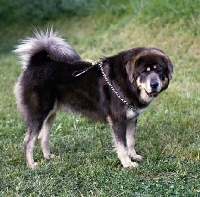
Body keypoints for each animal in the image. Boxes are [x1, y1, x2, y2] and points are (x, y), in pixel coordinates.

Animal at [14, 29, 173, 168]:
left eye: (159, 70)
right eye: (144, 72)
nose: (154, 84)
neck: (128, 82)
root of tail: (35, 63)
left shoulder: (131, 119)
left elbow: (131, 140)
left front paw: (133, 155)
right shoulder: (118, 120)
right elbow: (122, 145)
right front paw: (127, 163)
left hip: (50, 114)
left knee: (42, 137)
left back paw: (48, 157)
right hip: (38, 114)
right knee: (28, 141)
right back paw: (31, 164)